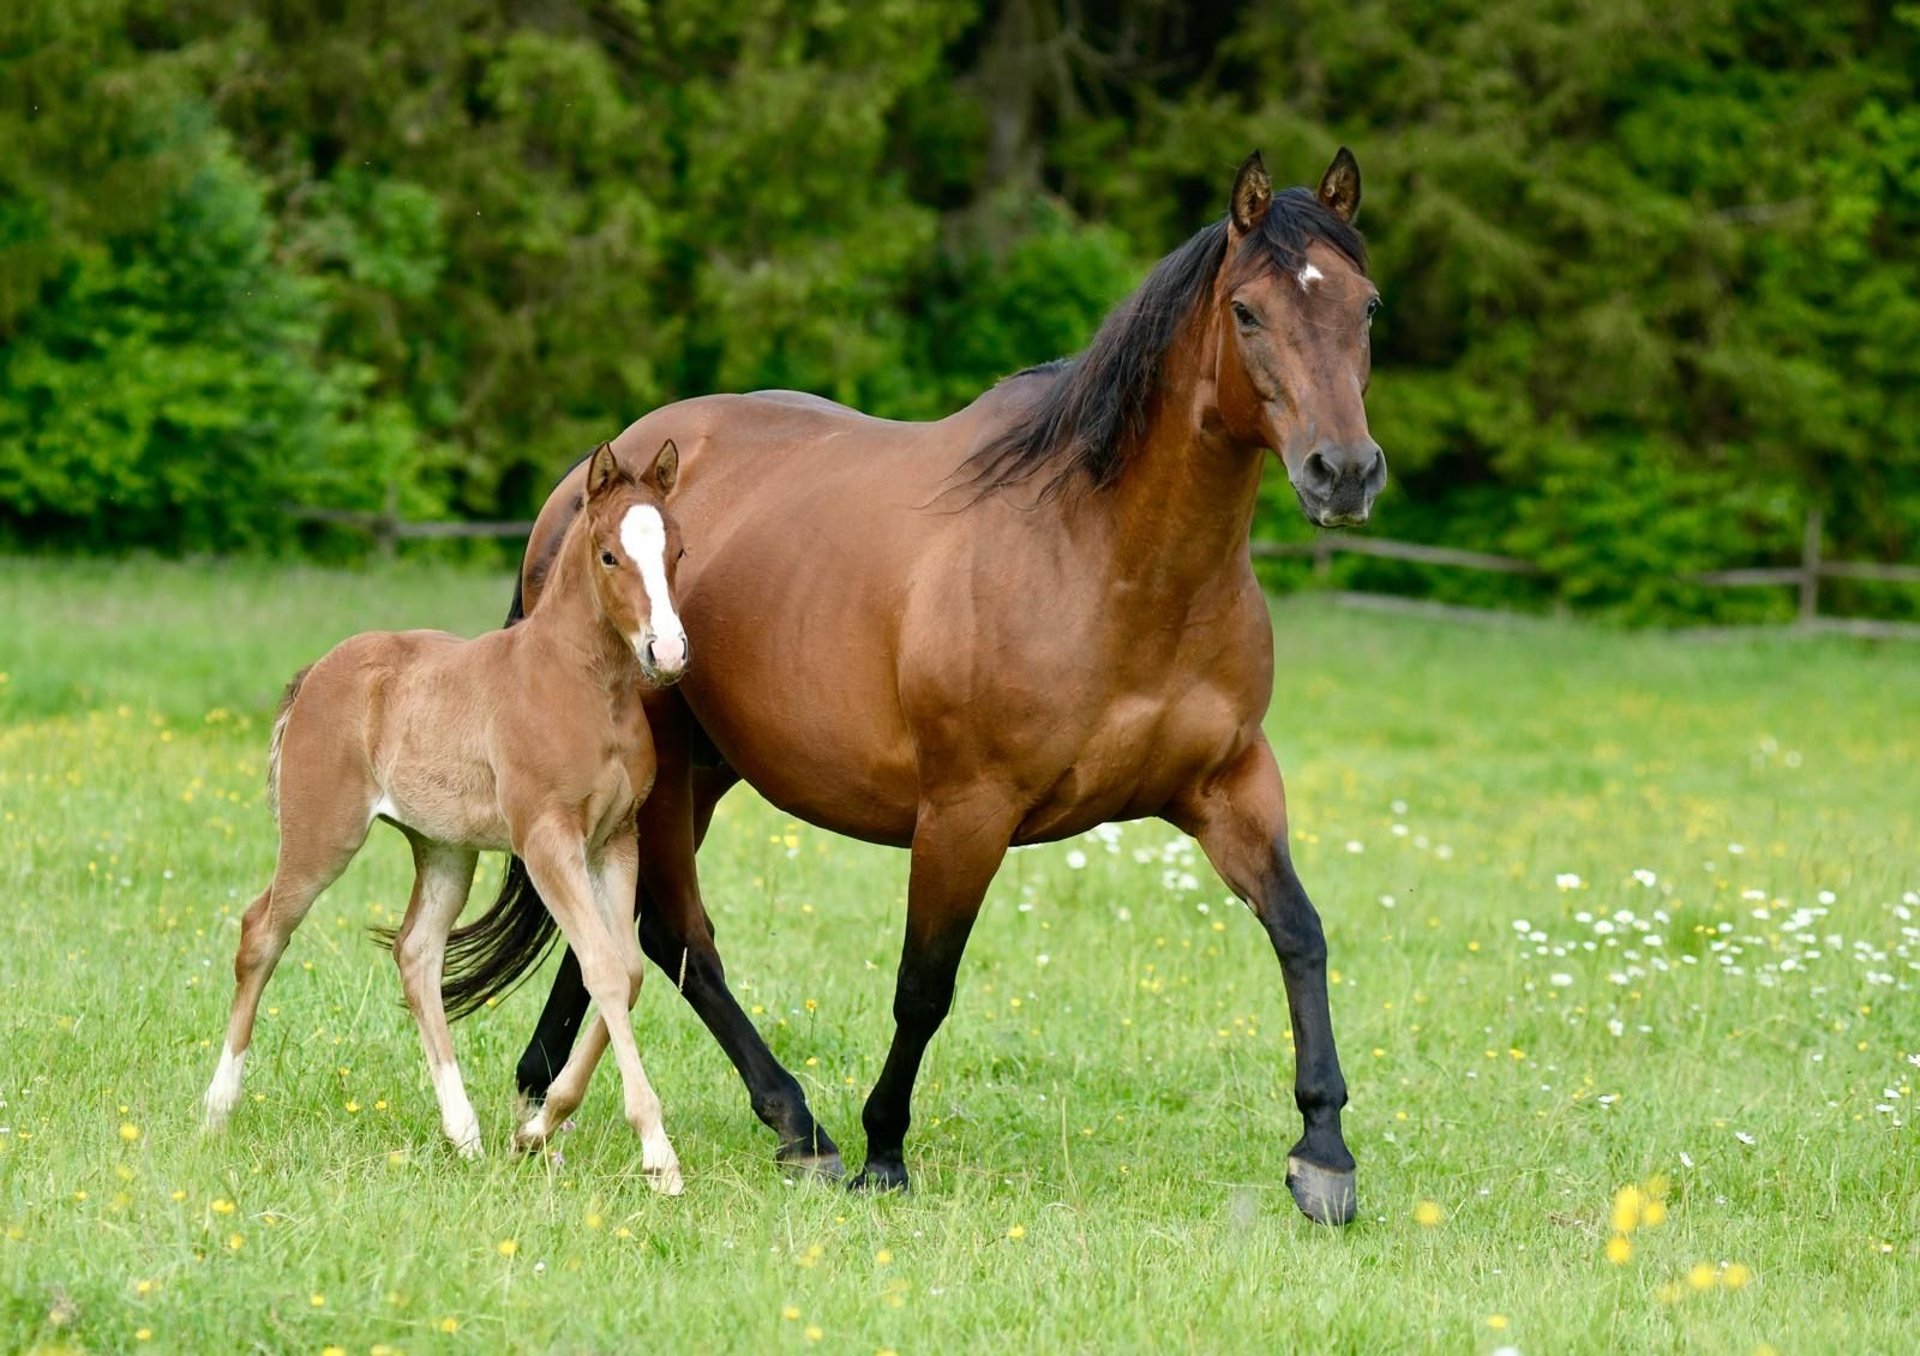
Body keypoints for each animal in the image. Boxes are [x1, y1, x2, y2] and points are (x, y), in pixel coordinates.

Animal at [202, 441, 691, 1193]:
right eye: (610, 555)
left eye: (678, 551)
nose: (665, 653)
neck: (583, 685)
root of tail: (317, 671)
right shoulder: (546, 839)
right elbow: (604, 970)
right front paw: (657, 1155)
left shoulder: (615, 839)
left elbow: (627, 973)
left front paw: (537, 1128)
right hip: (323, 836)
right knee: (263, 931)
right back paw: (217, 1108)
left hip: (443, 849)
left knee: (416, 954)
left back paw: (465, 1134)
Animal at [449, 149, 1384, 1224]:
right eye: (1247, 311)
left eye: (1365, 306)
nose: (1343, 472)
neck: (1109, 561)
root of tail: (587, 485)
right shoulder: (966, 813)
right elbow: (924, 986)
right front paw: (882, 1152)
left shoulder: (1230, 787)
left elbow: (1301, 934)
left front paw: (1324, 1152)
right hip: (672, 772)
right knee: (678, 932)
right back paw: (796, 1125)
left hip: (697, 774)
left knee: (614, 932)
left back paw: (544, 1092)